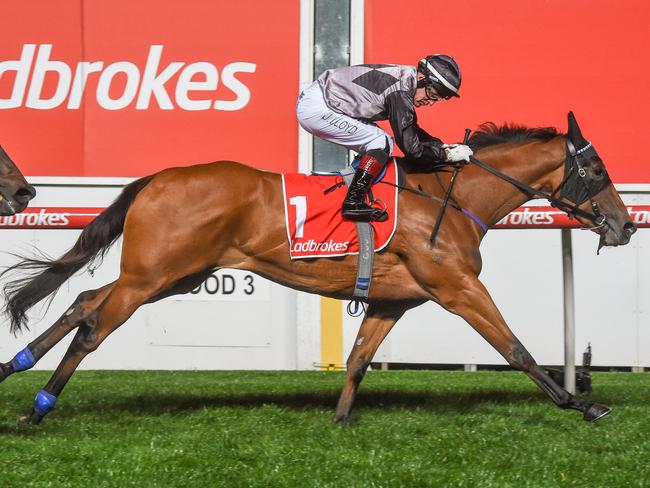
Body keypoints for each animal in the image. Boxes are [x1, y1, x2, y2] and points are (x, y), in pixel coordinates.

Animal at [0, 113, 632, 424]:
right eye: (598, 169)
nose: (626, 225)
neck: (448, 198)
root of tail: (159, 177)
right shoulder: (457, 287)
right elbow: (516, 347)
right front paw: (581, 404)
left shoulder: (392, 300)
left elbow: (357, 359)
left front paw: (342, 420)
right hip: (152, 276)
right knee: (91, 328)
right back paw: (37, 408)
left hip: (169, 275)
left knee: (82, 302)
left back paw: (15, 368)